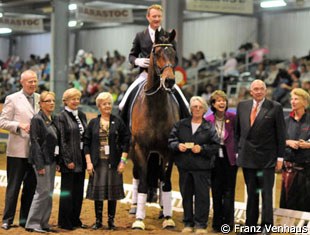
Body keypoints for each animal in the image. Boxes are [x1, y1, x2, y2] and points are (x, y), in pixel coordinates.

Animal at [130, 29, 180, 229]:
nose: (169, 81)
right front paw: (139, 220)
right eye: (156, 53)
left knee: (160, 177)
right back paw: (134, 208)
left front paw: (168, 218)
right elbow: (143, 183)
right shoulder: (140, 149)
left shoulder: (169, 151)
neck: (156, 106)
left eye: (174, 54)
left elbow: (166, 182)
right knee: (137, 176)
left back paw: (163, 210)